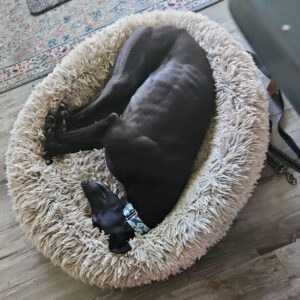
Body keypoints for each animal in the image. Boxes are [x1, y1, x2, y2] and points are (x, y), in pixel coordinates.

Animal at [43, 26, 214, 253]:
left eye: (94, 220)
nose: (84, 183)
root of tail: (176, 27)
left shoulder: (108, 131)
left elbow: (72, 141)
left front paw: (51, 143)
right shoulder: (111, 126)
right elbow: (70, 138)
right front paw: (50, 142)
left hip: (123, 93)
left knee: (78, 114)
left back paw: (56, 120)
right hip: (123, 80)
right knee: (83, 111)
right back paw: (55, 121)